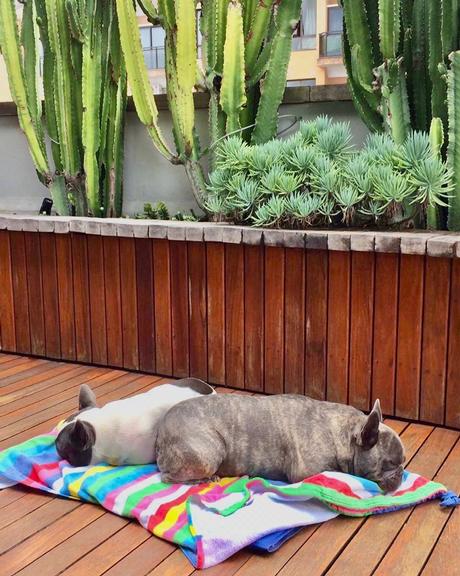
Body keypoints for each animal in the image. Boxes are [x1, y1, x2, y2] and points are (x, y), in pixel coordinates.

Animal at [155, 394, 406, 492]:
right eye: (390, 463)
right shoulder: (306, 472)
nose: (401, 472)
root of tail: (161, 431)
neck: (343, 434)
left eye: (403, 461)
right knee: (168, 477)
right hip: (210, 452)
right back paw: (203, 480)